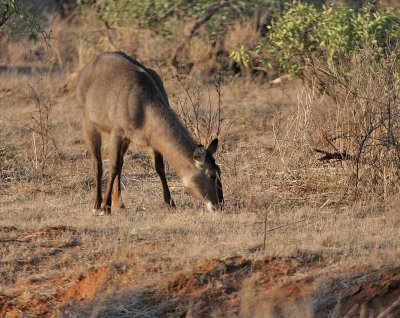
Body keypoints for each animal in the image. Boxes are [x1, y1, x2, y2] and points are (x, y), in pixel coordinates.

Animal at [76, 52, 223, 215]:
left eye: (219, 171)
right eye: (212, 174)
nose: (219, 205)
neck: (144, 105)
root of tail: (88, 66)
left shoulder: (151, 140)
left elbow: (159, 167)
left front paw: (170, 203)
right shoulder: (117, 132)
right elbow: (112, 166)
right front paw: (104, 208)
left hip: (125, 139)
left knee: (120, 163)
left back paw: (119, 203)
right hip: (89, 125)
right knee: (98, 163)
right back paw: (97, 204)